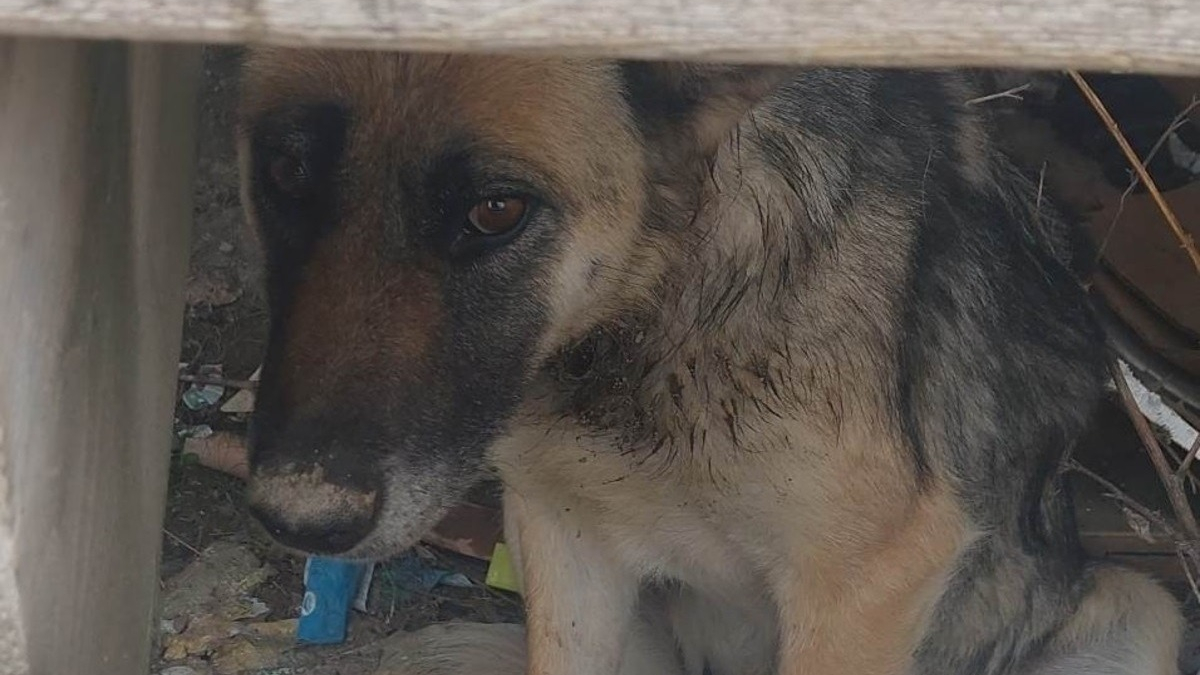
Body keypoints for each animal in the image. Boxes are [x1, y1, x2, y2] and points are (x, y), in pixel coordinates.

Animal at [234, 48, 1180, 672]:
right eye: (283, 170)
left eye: (497, 210)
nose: (297, 520)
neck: (660, 308)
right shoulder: (560, 539)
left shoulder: (864, 588)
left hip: (1145, 607)